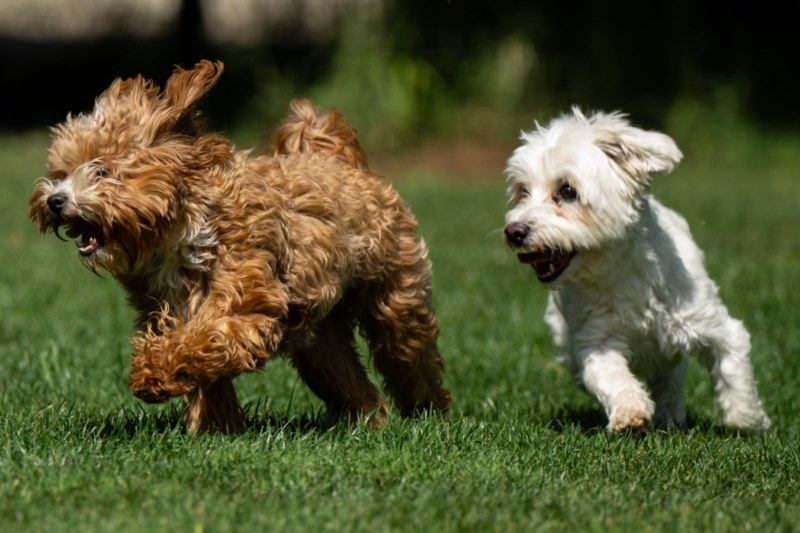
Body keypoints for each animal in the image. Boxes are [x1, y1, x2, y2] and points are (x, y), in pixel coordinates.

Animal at [29, 60, 450, 432]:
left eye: (102, 171)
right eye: (61, 173)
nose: (54, 200)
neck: (182, 227)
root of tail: (341, 160)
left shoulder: (243, 305)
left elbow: (201, 341)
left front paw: (152, 374)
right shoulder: (174, 308)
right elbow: (206, 375)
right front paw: (214, 429)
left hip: (396, 300)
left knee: (410, 355)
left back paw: (429, 416)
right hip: (321, 340)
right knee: (350, 381)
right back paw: (370, 423)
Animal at [504, 108, 772, 432]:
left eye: (567, 191)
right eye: (523, 191)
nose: (514, 231)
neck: (621, 273)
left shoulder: (711, 323)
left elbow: (733, 369)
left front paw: (748, 421)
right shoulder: (598, 339)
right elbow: (611, 377)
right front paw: (629, 411)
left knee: (669, 378)